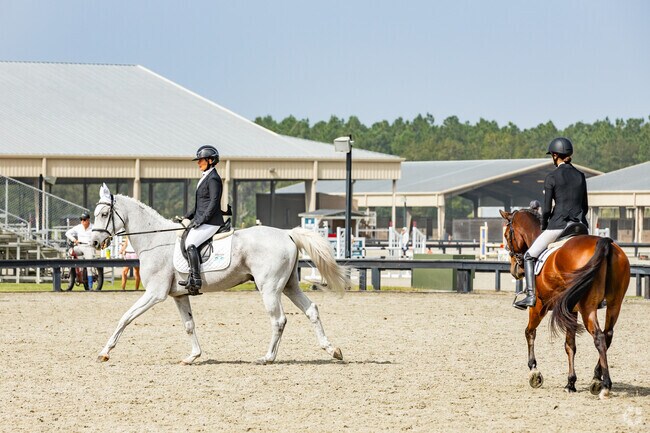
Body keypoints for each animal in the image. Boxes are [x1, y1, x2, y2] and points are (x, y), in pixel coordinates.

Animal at [90, 184, 349, 365]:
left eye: (103, 215)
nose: (93, 242)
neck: (154, 241)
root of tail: (287, 234)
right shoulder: (179, 295)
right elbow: (189, 325)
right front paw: (193, 356)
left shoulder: (155, 293)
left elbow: (125, 317)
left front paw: (104, 352)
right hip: (289, 286)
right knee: (311, 310)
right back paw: (332, 350)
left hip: (270, 288)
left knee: (278, 320)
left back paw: (267, 358)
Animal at [499, 207, 630, 399]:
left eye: (507, 235)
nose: (515, 270)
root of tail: (604, 242)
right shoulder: (571, 309)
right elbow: (570, 345)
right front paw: (571, 382)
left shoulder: (539, 306)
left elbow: (529, 332)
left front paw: (534, 372)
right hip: (614, 304)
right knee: (608, 335)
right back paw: (596, 378)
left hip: (587, 307)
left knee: (599, 337)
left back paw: (605, 385)